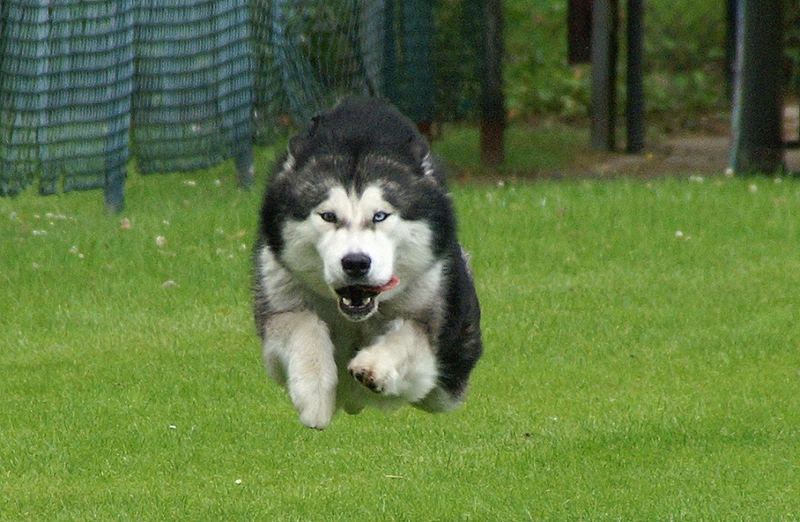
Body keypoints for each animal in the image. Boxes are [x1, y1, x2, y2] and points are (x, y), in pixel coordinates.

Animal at [255, 96, 482, 426]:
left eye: (380, 216)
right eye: (328, 216)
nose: (356, 262)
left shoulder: (427, 322)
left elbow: (409, 336)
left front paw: (374, 365)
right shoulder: (278, 296)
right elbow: (302, 323)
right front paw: (313, 391)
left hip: (450, 376)